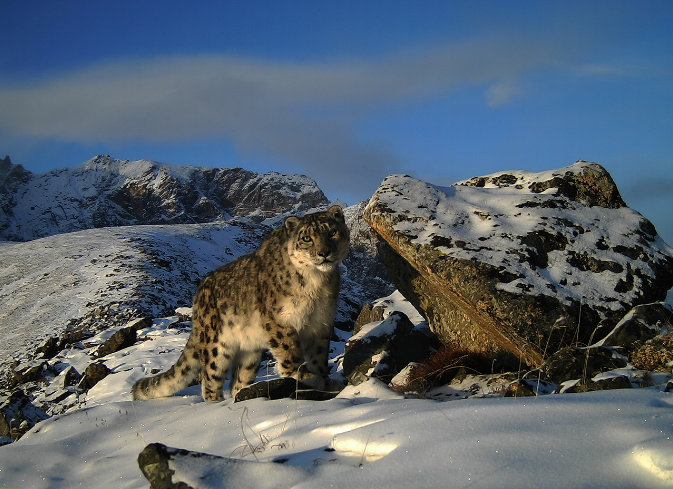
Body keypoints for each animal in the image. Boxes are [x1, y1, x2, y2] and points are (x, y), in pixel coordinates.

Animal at [133, 205, 350, 400]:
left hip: (249, 354)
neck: (316, 283)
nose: (324, 252)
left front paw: (325, 381)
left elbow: (318, 356)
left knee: (237, 383)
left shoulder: (320, 323)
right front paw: (304, 377)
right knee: (210, 383)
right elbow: (290, 353)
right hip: (215, 346)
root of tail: (198, 295)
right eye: (306, 238)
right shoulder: (280, 321)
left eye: (332, 232)